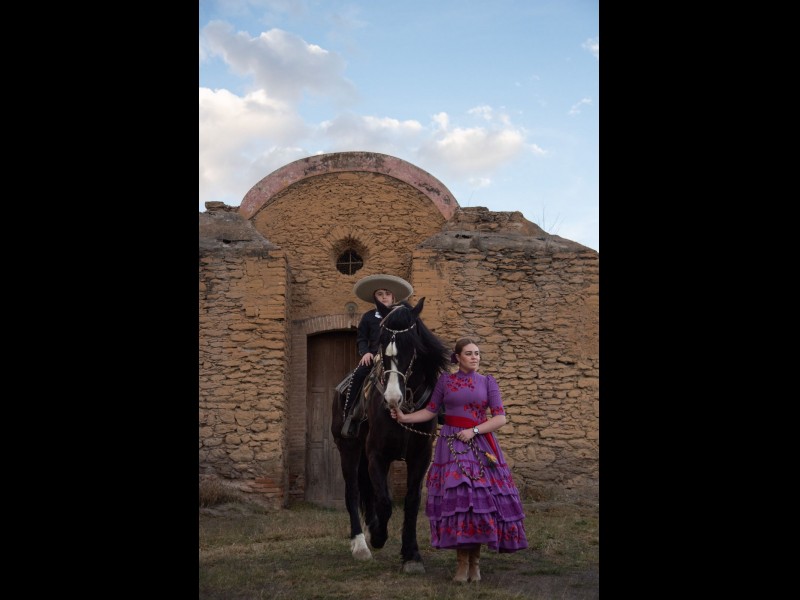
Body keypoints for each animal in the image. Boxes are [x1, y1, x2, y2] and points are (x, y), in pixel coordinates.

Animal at [330, 297, 450, 573]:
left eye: (412, 345)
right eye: (381, 343)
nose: (392, 398)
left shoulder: (420, 457)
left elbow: (411, 501)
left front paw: (412, 555)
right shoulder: (377, 455)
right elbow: (384, 500)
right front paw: (377, 535)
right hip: (348, 449)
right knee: (352, 492)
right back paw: (361, 545)